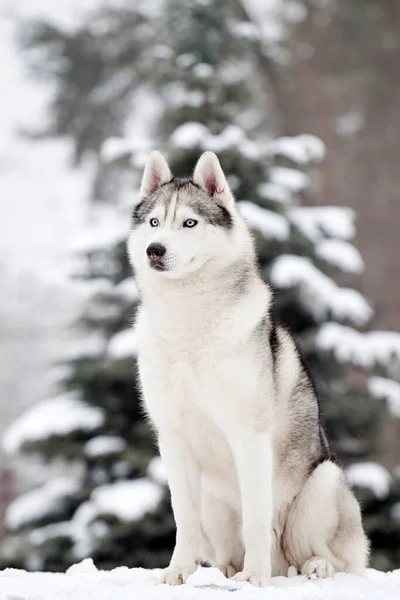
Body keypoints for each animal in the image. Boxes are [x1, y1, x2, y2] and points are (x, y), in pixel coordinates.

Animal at [128, 150, 368, 584]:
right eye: (154, 222)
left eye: (190, 222)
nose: (155, 249)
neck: (190, 325)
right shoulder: (172, 438)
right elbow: (183, 518)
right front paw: (178, 572)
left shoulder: (250, 436)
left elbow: (256, 518)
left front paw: (255, 578)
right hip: (212, 499)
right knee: (223, 548)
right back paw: (223, 571)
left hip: (323, 484)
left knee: (334, 560)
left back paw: (311, 567)